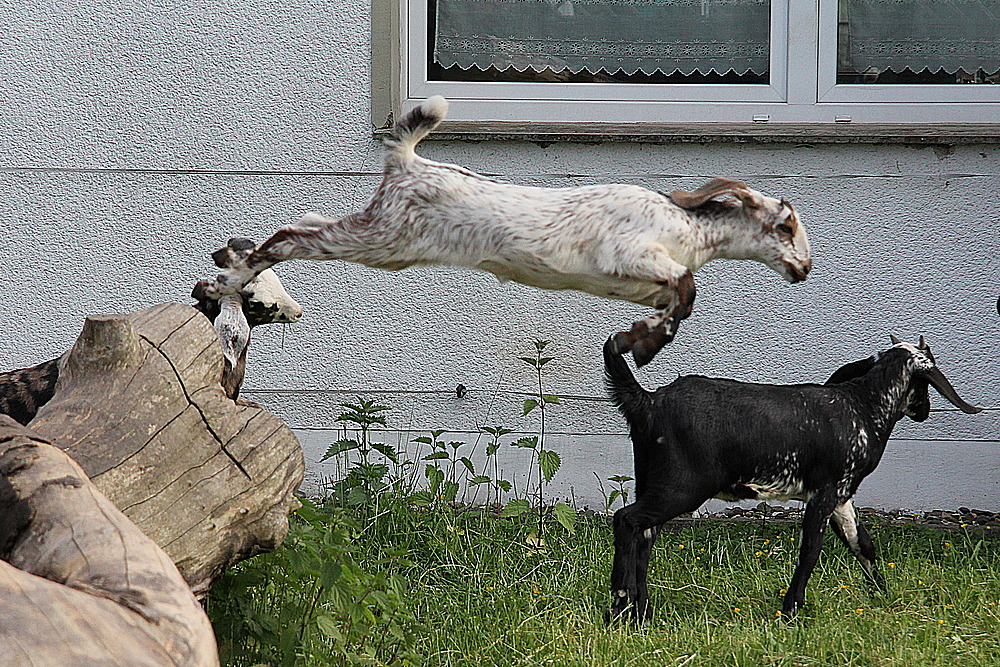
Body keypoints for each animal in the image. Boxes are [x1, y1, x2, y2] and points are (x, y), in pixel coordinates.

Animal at [205, 96, 812, 366]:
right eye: (785, 226)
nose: (804, 269)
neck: (689, 227)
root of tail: (407, 162)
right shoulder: (632, 252)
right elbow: (688, 289)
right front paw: (641, 345)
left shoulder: (645, 284)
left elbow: (678, 304)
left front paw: (636, 339)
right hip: (384, 236)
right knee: (291, 235)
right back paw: (227, 277)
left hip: (382, 236)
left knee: (305, 223)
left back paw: (227, 268)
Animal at [604, 336, 980, 624]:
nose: (925, 411)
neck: (862, 408)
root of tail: (649, 401)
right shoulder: (825, 493)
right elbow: (810, 550)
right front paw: (791, 611)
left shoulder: (842, 496)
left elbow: (862, 543)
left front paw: (883, 595)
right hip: (682, 485)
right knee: (626, 520)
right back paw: (620, 603)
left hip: (651, 479)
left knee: (644, 535)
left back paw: (641, 612)